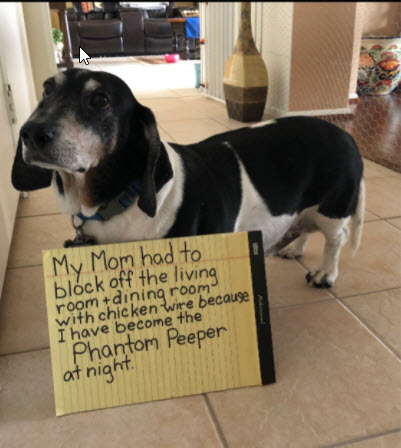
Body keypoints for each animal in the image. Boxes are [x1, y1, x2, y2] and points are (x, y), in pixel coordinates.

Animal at [11, 68, 362, 288]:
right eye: (47, 88)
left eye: (100, 100)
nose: (30, 133)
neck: (122, 201)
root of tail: (345, 134)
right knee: (307, 227)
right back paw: (295, 248)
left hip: (333, 209)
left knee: (337, 238)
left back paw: (326, 273)